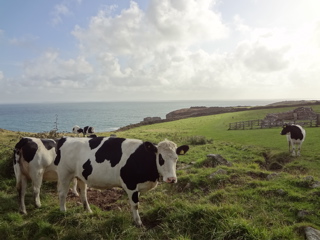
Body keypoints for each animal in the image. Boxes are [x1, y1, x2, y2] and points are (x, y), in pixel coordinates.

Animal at [54, 136, 189, 226]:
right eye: (161, 158)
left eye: (176, 158)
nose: (172, 179)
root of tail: (65, 138)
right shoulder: (131, 185)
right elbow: (135, 204)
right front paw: (138, 223)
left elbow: (135, 204)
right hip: (65, 174)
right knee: (62, 193)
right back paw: (63, 211)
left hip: (80, 176)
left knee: (83, 192)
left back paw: (88, 211)